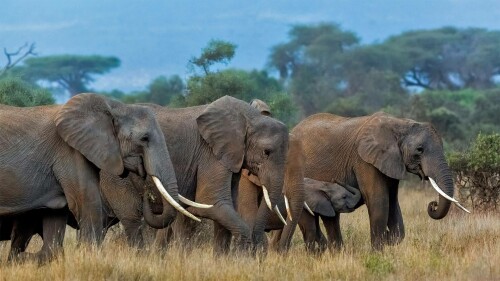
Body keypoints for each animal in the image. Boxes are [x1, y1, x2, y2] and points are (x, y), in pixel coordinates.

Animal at [0, 93, 194, 262]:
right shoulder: (70, 151)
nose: (147, 193)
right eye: (145, 138)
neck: (115, 107)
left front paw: (23, 259)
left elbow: (56, 214)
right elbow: (87, 204)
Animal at [97, 95, 290, 254]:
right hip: (114, 173)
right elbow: (213, 202)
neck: (249, 116)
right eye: (266, 152)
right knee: (131, 217)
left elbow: (226, 208)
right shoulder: (210, 154)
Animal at [292, 111, 468, 249]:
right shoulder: (364, 160)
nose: (433, 205)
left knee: (331, 216)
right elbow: (379, 199)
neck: (401, 124)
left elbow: (392, 200)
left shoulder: (392, 161)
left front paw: (390, 238)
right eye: (420, 150)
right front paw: (378, 252)